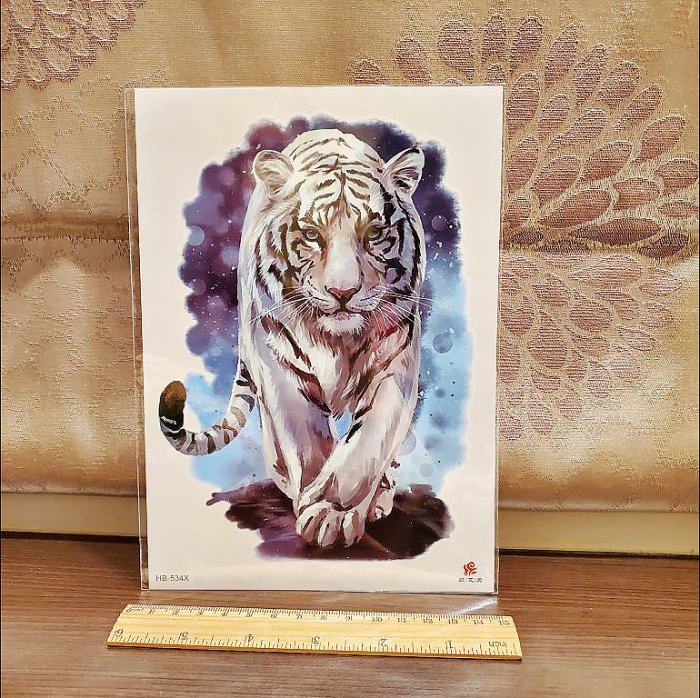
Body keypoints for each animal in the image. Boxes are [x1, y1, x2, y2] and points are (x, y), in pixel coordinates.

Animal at [159, 128, 426, 548]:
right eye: (312, 234)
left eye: (375, 233)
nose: (343, 292)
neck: (337, 342)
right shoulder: (279, 363)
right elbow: (307, 441)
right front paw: (318, 508)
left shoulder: (394, 360)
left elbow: (368, 440)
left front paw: (333, 510)